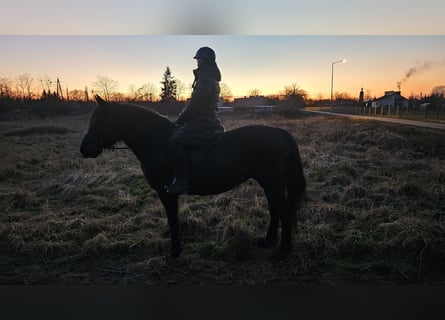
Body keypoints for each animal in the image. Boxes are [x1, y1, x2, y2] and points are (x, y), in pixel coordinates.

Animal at [80, 95, 306, 258]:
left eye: (100, 120)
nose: (84, 149)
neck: (157, 142)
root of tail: (281, 133)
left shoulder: (166, 193)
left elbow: (173, 220)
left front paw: (174, 252)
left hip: (272, 184)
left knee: (283, 212)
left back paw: (284, 249)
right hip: (270, 184)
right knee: (275, 210)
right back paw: (268, 241)